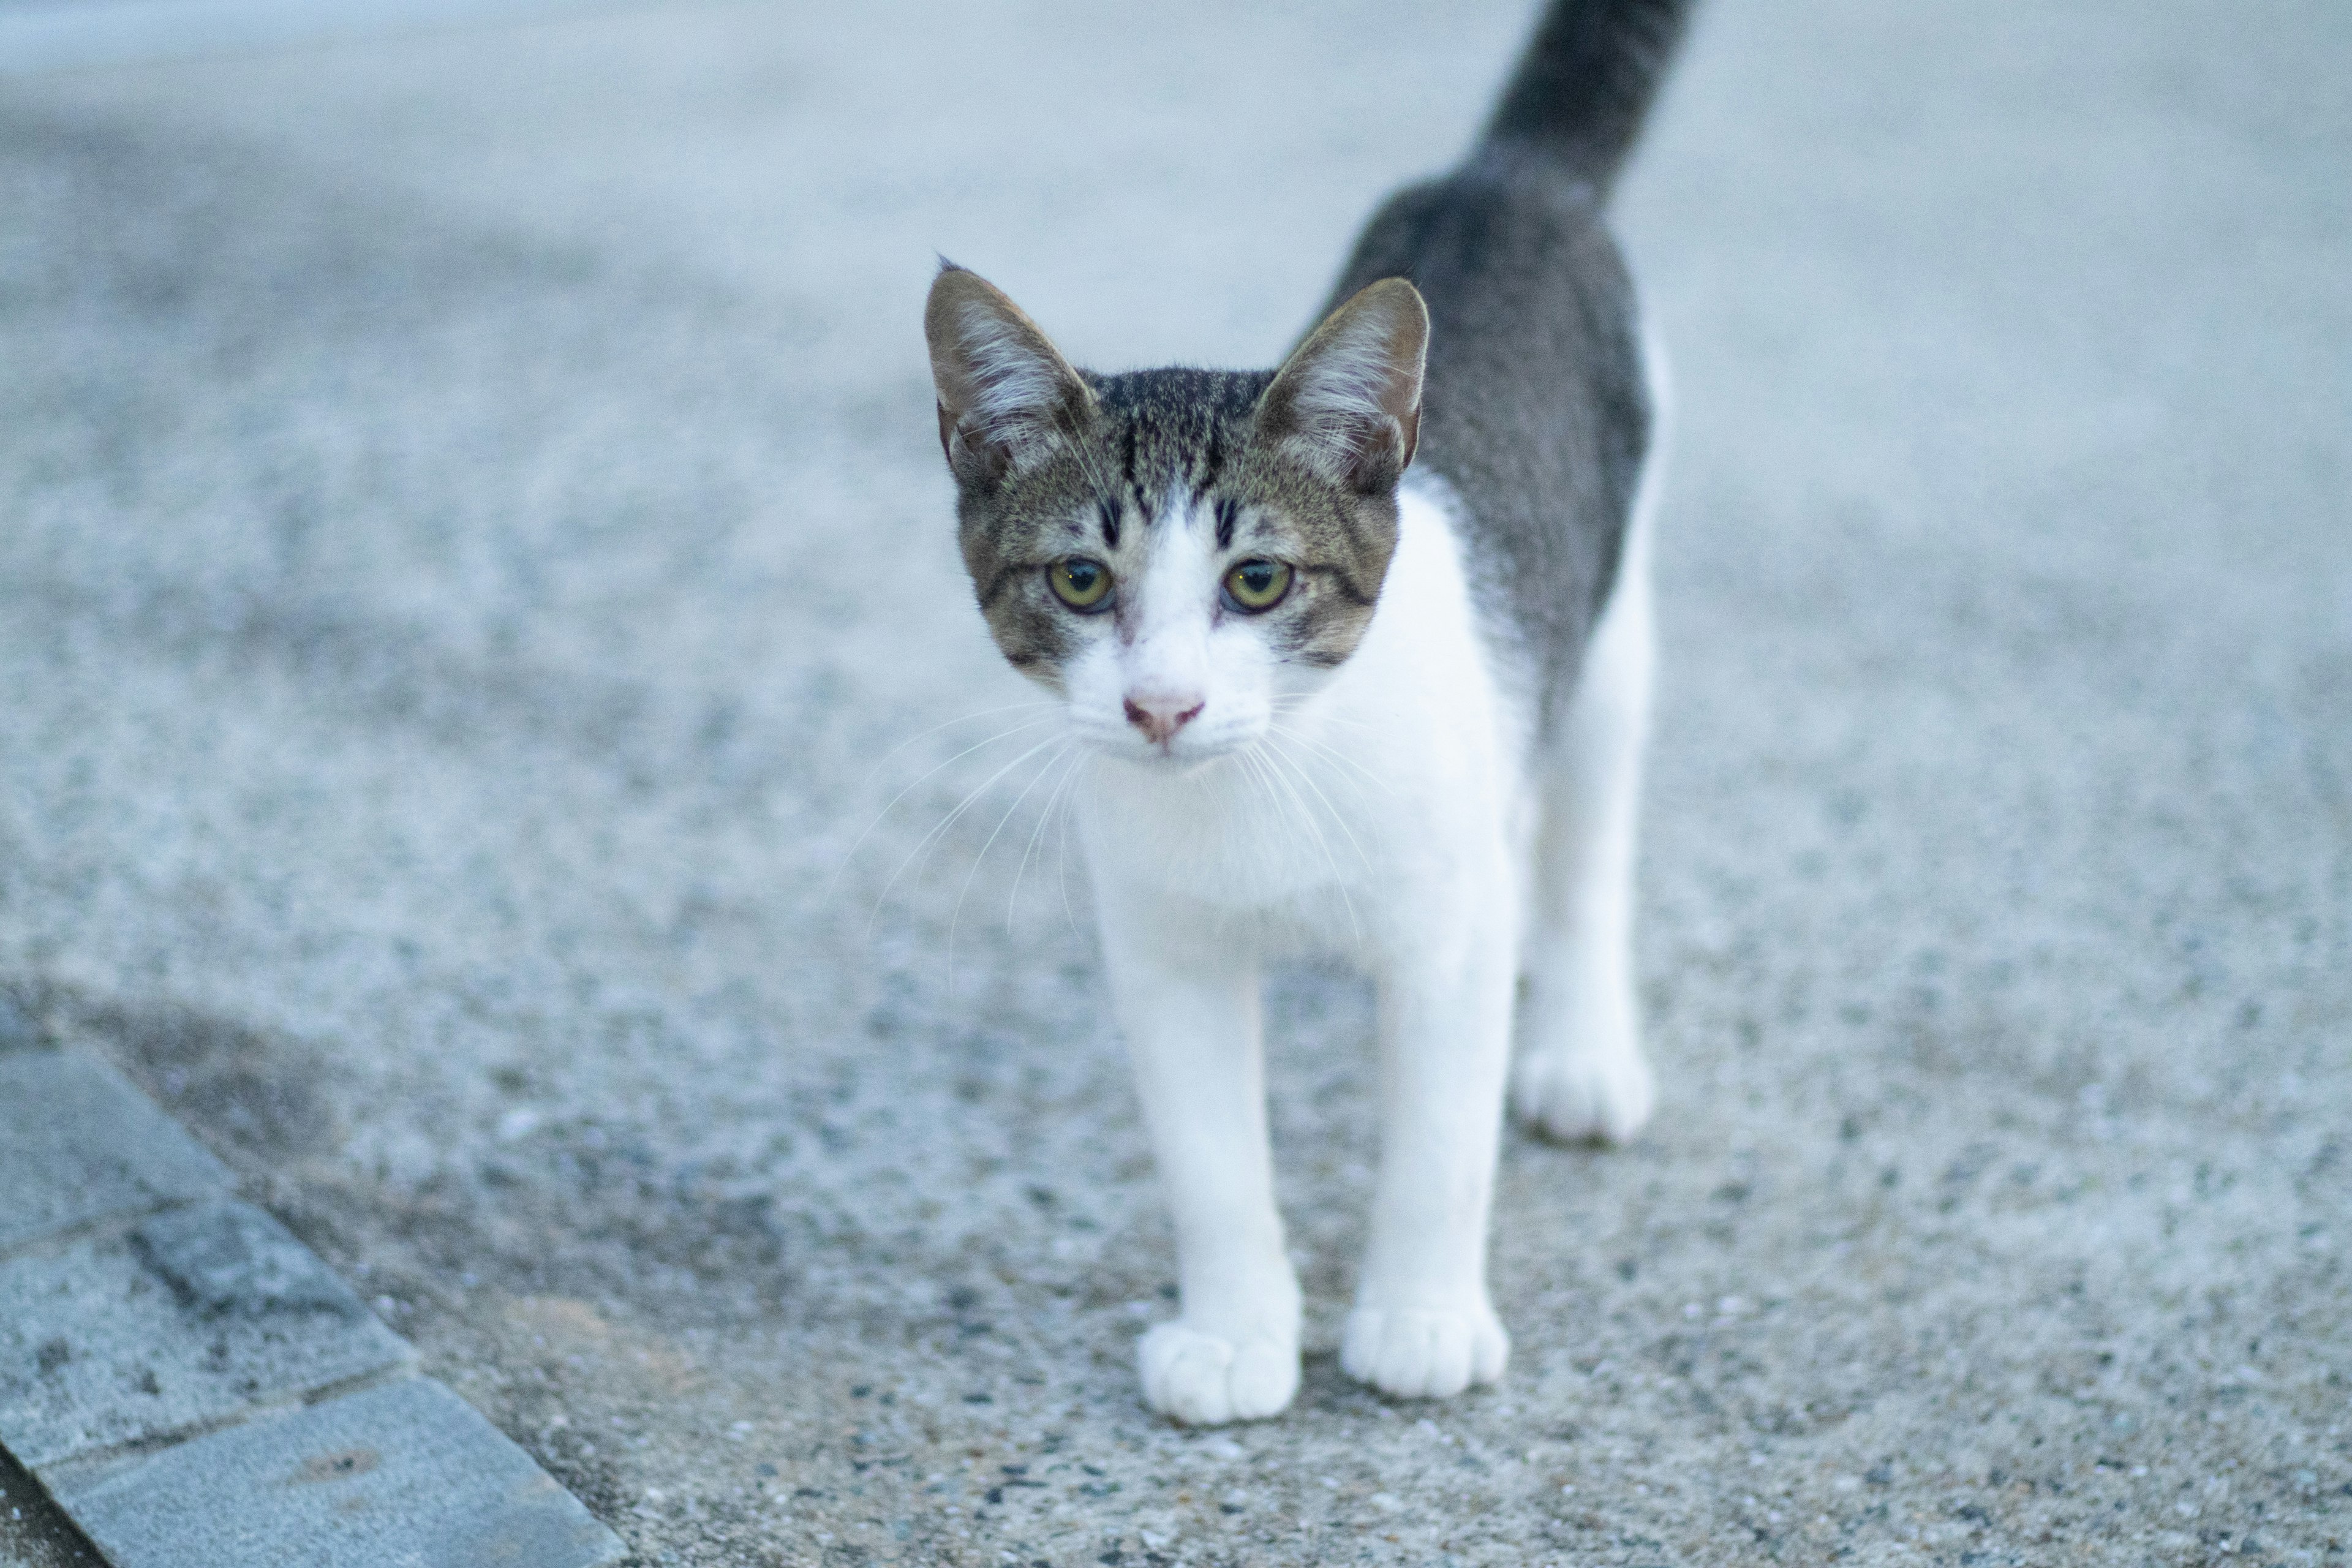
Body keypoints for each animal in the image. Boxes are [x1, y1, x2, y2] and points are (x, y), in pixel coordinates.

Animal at [917, 0, 1693, 1420]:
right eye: (1080, 579)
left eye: (1259, 580)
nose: (1163, 706)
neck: (1259, 777)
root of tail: (1503, 177)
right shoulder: (1165, 944)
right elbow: (1212, 1156)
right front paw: (1235, 1329)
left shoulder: (1438, 936)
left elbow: (1440, 1140)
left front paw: (1421, 1316)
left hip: (1608, 613)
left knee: (1587, 833)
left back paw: (1578, 1039)